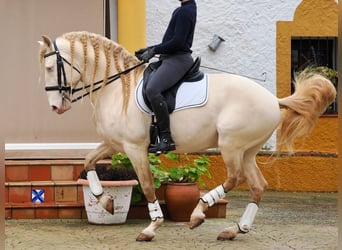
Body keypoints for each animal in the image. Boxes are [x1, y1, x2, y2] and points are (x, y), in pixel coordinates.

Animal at [38, 31, 336, 242]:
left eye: (51, 68)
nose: (54, 107)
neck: (116, 86)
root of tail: (274, 100)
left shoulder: (135, 148)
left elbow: (147, 186)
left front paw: (151, 227)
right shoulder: (114, 143)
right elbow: (88, 162)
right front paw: (106, 202)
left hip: (231, 145)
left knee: (234, 178)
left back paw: (199, 213)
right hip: (248, 150)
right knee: (258, 185)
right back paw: (236, 229)